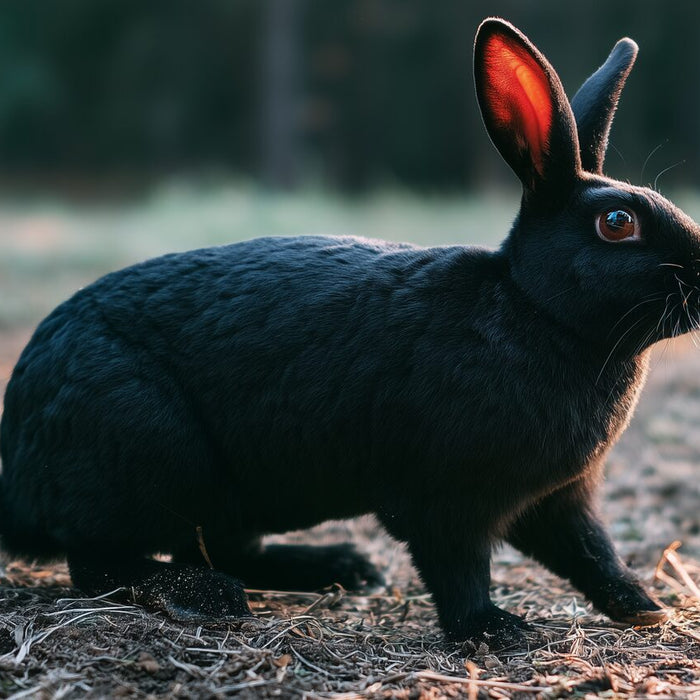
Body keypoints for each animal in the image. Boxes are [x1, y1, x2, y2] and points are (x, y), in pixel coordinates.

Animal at [0, 16, 696, 648]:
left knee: (219, 547)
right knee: (101, 562)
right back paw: (204, 598)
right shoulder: (442, 495)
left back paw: (341, 567)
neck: (534, 308)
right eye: (617, 223)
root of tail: (20, 460)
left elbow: (590, 552)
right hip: (151, 450)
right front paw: (494, 630)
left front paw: (647, 610)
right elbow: (458, 566)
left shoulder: (558, 499)